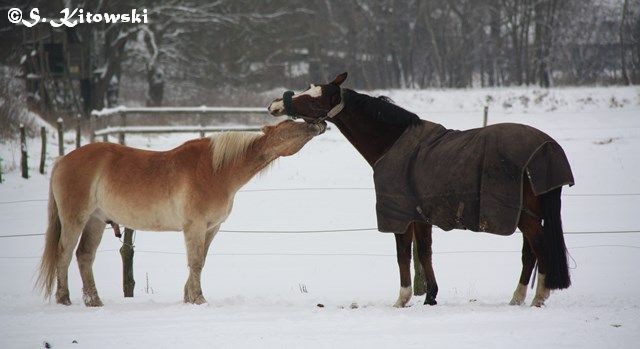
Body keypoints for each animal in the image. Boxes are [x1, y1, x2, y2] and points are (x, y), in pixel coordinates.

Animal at [36, 119, 324, 304]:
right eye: (291, 124)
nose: (317, 123)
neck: (217, 170)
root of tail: (62, 160)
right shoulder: (194, 226)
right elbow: (195, 262)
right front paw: (198, 299)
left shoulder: (211, 228)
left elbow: (200, 261)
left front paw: (188, 297)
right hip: (75, 219)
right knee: (64, 254)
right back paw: (64, 299)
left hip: (95, 221)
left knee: (84, 256)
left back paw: (94, 301)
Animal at [268, 72, 572, 306]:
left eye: (313, 98)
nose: (274, 105)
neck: (393, 142)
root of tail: (548, 148)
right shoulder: (421, 215)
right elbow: (425, 253)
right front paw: (431, 297)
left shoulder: (400, 215)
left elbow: (403, 255)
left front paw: (401, 300)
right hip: (528, 214)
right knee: (529, 253)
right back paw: (517, 298)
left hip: (522, 215)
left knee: (540, 248)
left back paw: (538, 298)